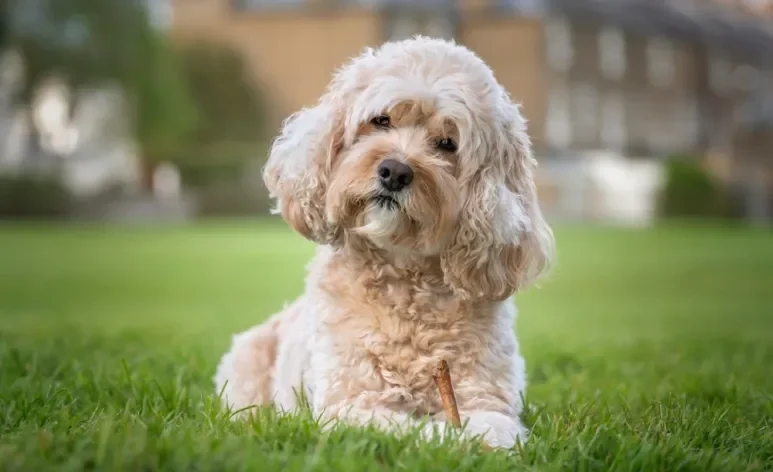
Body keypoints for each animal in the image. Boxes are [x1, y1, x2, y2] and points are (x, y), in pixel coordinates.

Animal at [216, 35, 556, 448]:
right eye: (381, 120)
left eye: (447, 143)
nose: (395, 171)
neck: (405, 281)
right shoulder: (351, 405)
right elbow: (411, 430)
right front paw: (443, 436)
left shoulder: (489, 401)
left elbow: (488, 428)